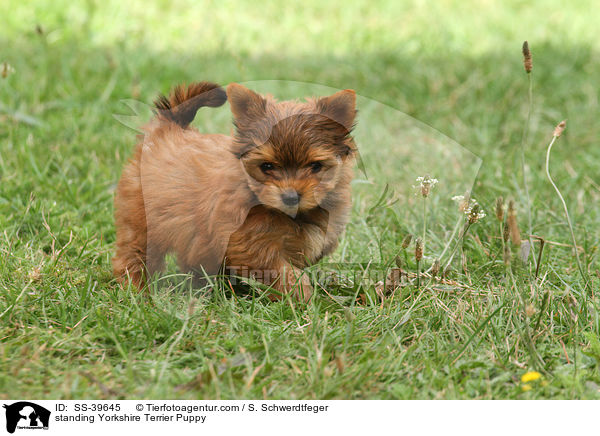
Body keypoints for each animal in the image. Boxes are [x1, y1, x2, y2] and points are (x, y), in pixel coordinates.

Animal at [112, 82, 356, 302]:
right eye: (267, 166)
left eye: (315, 166)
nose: (290, 197)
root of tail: (166, 129)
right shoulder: (250, 245)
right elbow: (284, 272)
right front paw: (302, 298)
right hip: (142, 220)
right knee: (134, 254)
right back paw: (137, 290)